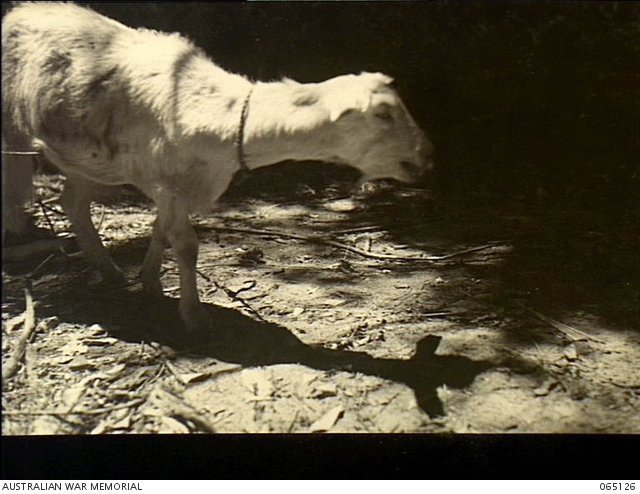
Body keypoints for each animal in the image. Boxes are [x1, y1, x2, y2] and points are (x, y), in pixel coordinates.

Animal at [2, 2, 434, 332]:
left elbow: (160, 232)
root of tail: (19, 11)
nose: (427, 157)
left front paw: (150, 282)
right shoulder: (168, 185)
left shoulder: (183, 187)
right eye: (382, 114)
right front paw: (193, 317)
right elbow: (186, 245)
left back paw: (108, 271)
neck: (216, 113)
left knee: (72, 202)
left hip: (86, 159)